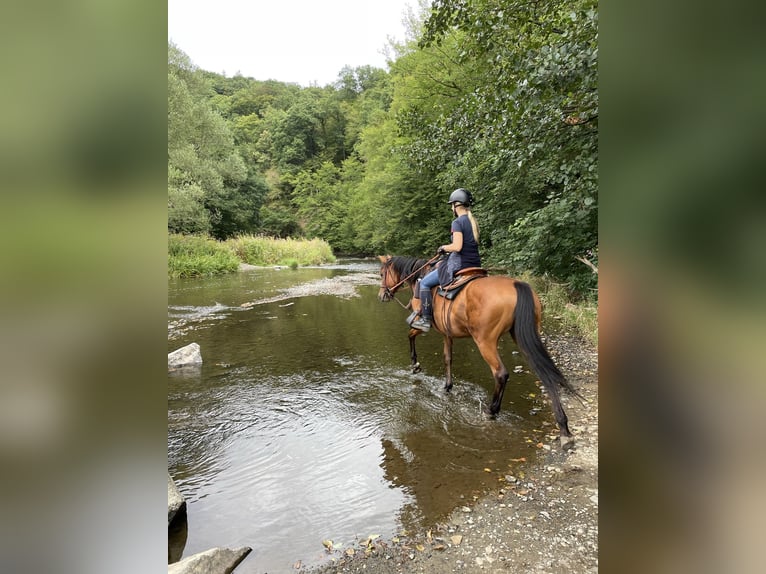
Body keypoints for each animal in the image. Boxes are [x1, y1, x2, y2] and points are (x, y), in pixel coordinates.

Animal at [378, 256, 584, 450]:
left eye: (381, 274)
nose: (382, 295)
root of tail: (516, 285)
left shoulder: (423, 325)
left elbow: (411, 336)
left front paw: (416, 365)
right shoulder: (447, 333)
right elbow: (447, 358)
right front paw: (447, 386)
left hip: (485, 341)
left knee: (501, 374)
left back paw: (491, 410)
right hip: (525, 336)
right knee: (545, 375)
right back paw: (564, 429)